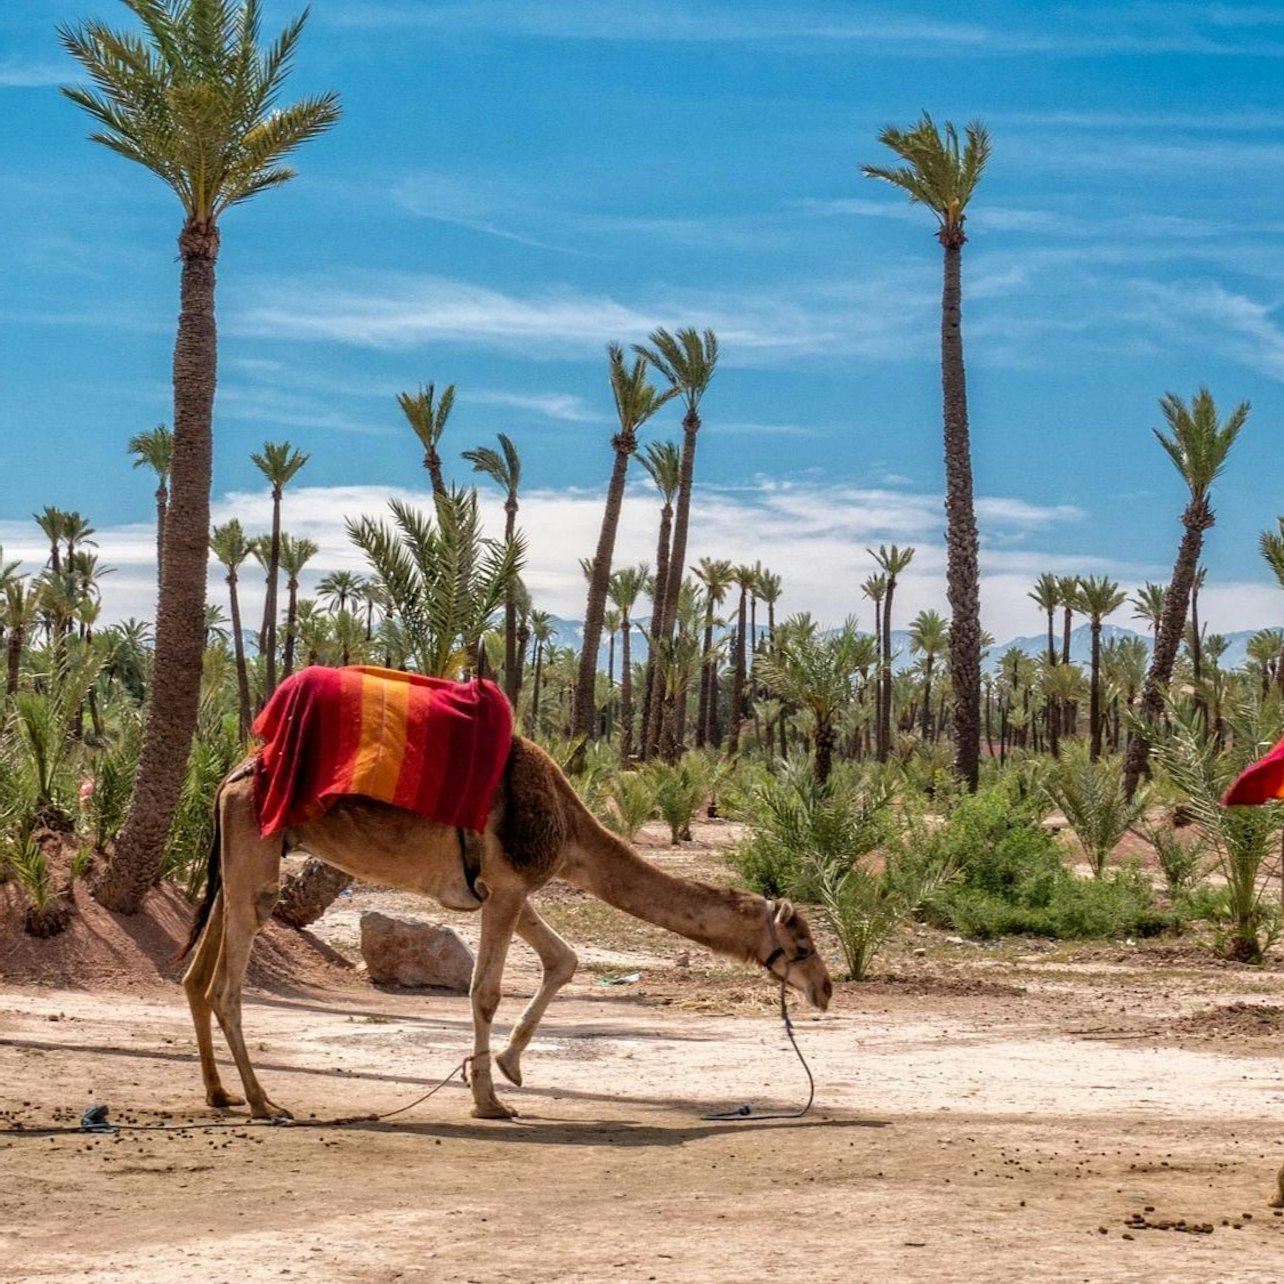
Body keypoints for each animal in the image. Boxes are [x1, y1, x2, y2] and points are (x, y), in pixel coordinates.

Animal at [179, 736, 833, 1120]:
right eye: (801, 944)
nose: (825, 990)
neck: (571, 828)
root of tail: (231, 776)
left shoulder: (508, 889)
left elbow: (563, 960)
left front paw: (508, 1067)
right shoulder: (511, 885)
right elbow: (486, 991)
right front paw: (488, 1099)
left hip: (238, 859)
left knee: (194, 976)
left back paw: (220, 1094)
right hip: (256, 855)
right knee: (226, 986)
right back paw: (264, 1102)